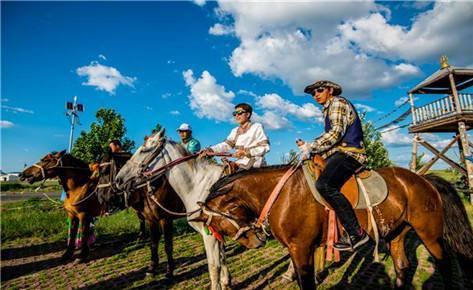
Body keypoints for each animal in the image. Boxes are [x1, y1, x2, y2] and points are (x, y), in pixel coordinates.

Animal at [116, 130, 230, 290]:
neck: (200, 185)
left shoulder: (168, 220)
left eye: (144, 150)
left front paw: (169, 272)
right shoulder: (152, 219)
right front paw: (152, 268)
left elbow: (170, 247)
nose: (118, 180)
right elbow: (154, 243)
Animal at [193, 162, 472, 288]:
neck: (282, 193)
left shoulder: (301, 249)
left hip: (430, 235)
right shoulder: (298, 251)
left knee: (444, 264)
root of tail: (423, 180)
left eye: (221, 219)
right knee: (402, 266)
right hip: (396, 233)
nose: (256, 240)